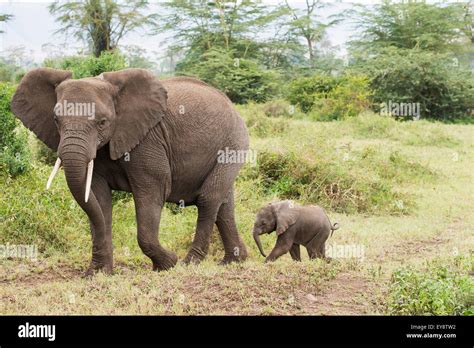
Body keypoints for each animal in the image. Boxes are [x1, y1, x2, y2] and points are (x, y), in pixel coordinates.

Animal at [12, 68, 248, 274]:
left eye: (102, 122)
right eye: (56, 120)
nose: (173, 257)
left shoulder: (148, 139)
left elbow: (152, 190)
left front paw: (167, 265)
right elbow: (97, 196)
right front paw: (98, 273)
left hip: (233, 144)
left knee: (208, 199)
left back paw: (190, 263)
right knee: (224, 204)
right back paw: (234, 261)